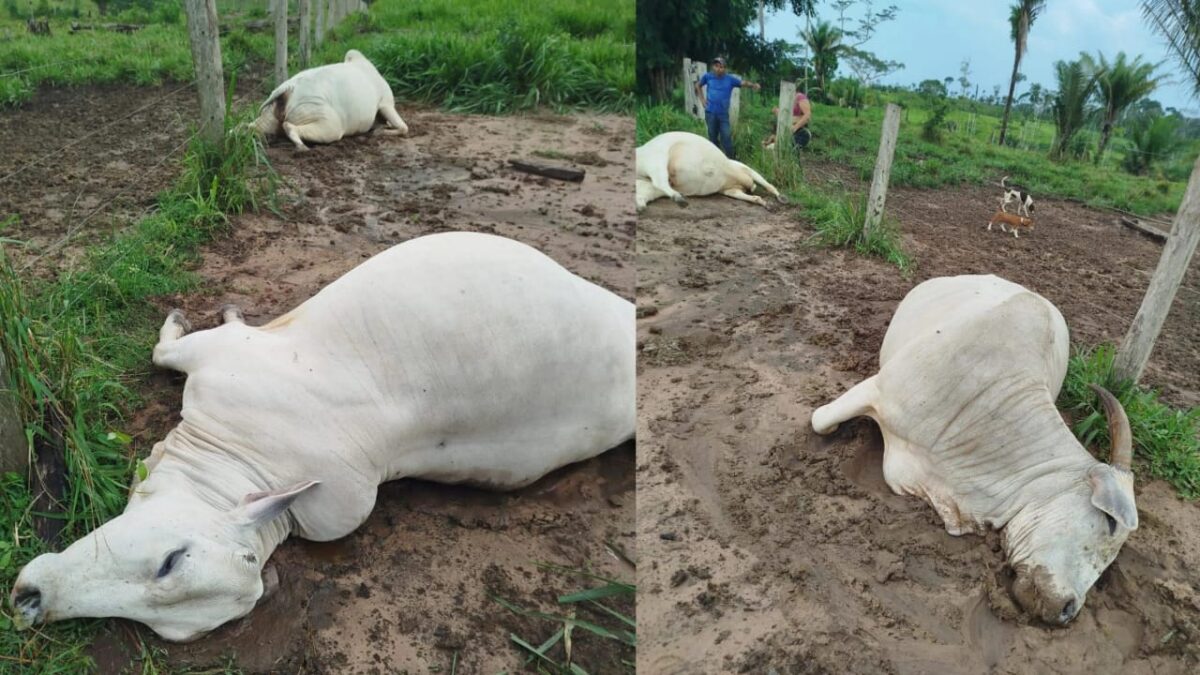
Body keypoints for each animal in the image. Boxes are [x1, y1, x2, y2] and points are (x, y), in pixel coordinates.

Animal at [250, 49, 409, 151]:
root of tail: (287, 89)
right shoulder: (386, 103)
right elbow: (403, 127)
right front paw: (379, 132)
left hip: (269, 117)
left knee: (250, 127)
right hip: (331, 125)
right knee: (289, 127)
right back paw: (302, 147)